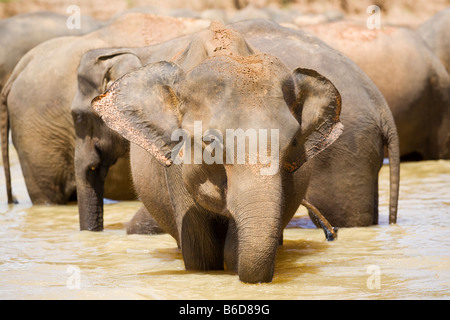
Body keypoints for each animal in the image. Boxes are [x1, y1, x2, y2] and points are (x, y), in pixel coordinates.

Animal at [90, 20, 398, 282]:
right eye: (210, 142)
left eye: (293, 143)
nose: (330, 233)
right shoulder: (175, 170)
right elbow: (201, 254)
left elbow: (234, 250)